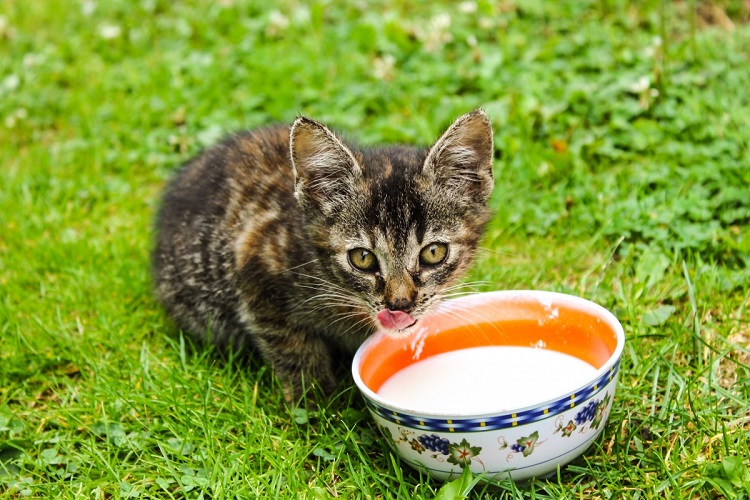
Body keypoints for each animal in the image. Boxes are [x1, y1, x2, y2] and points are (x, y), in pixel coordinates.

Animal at [151, 109, 494, 398]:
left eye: (433, 253)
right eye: (362, 258)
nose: (399, 305)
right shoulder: (256, 269)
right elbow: (294, 349)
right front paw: (318, 404)